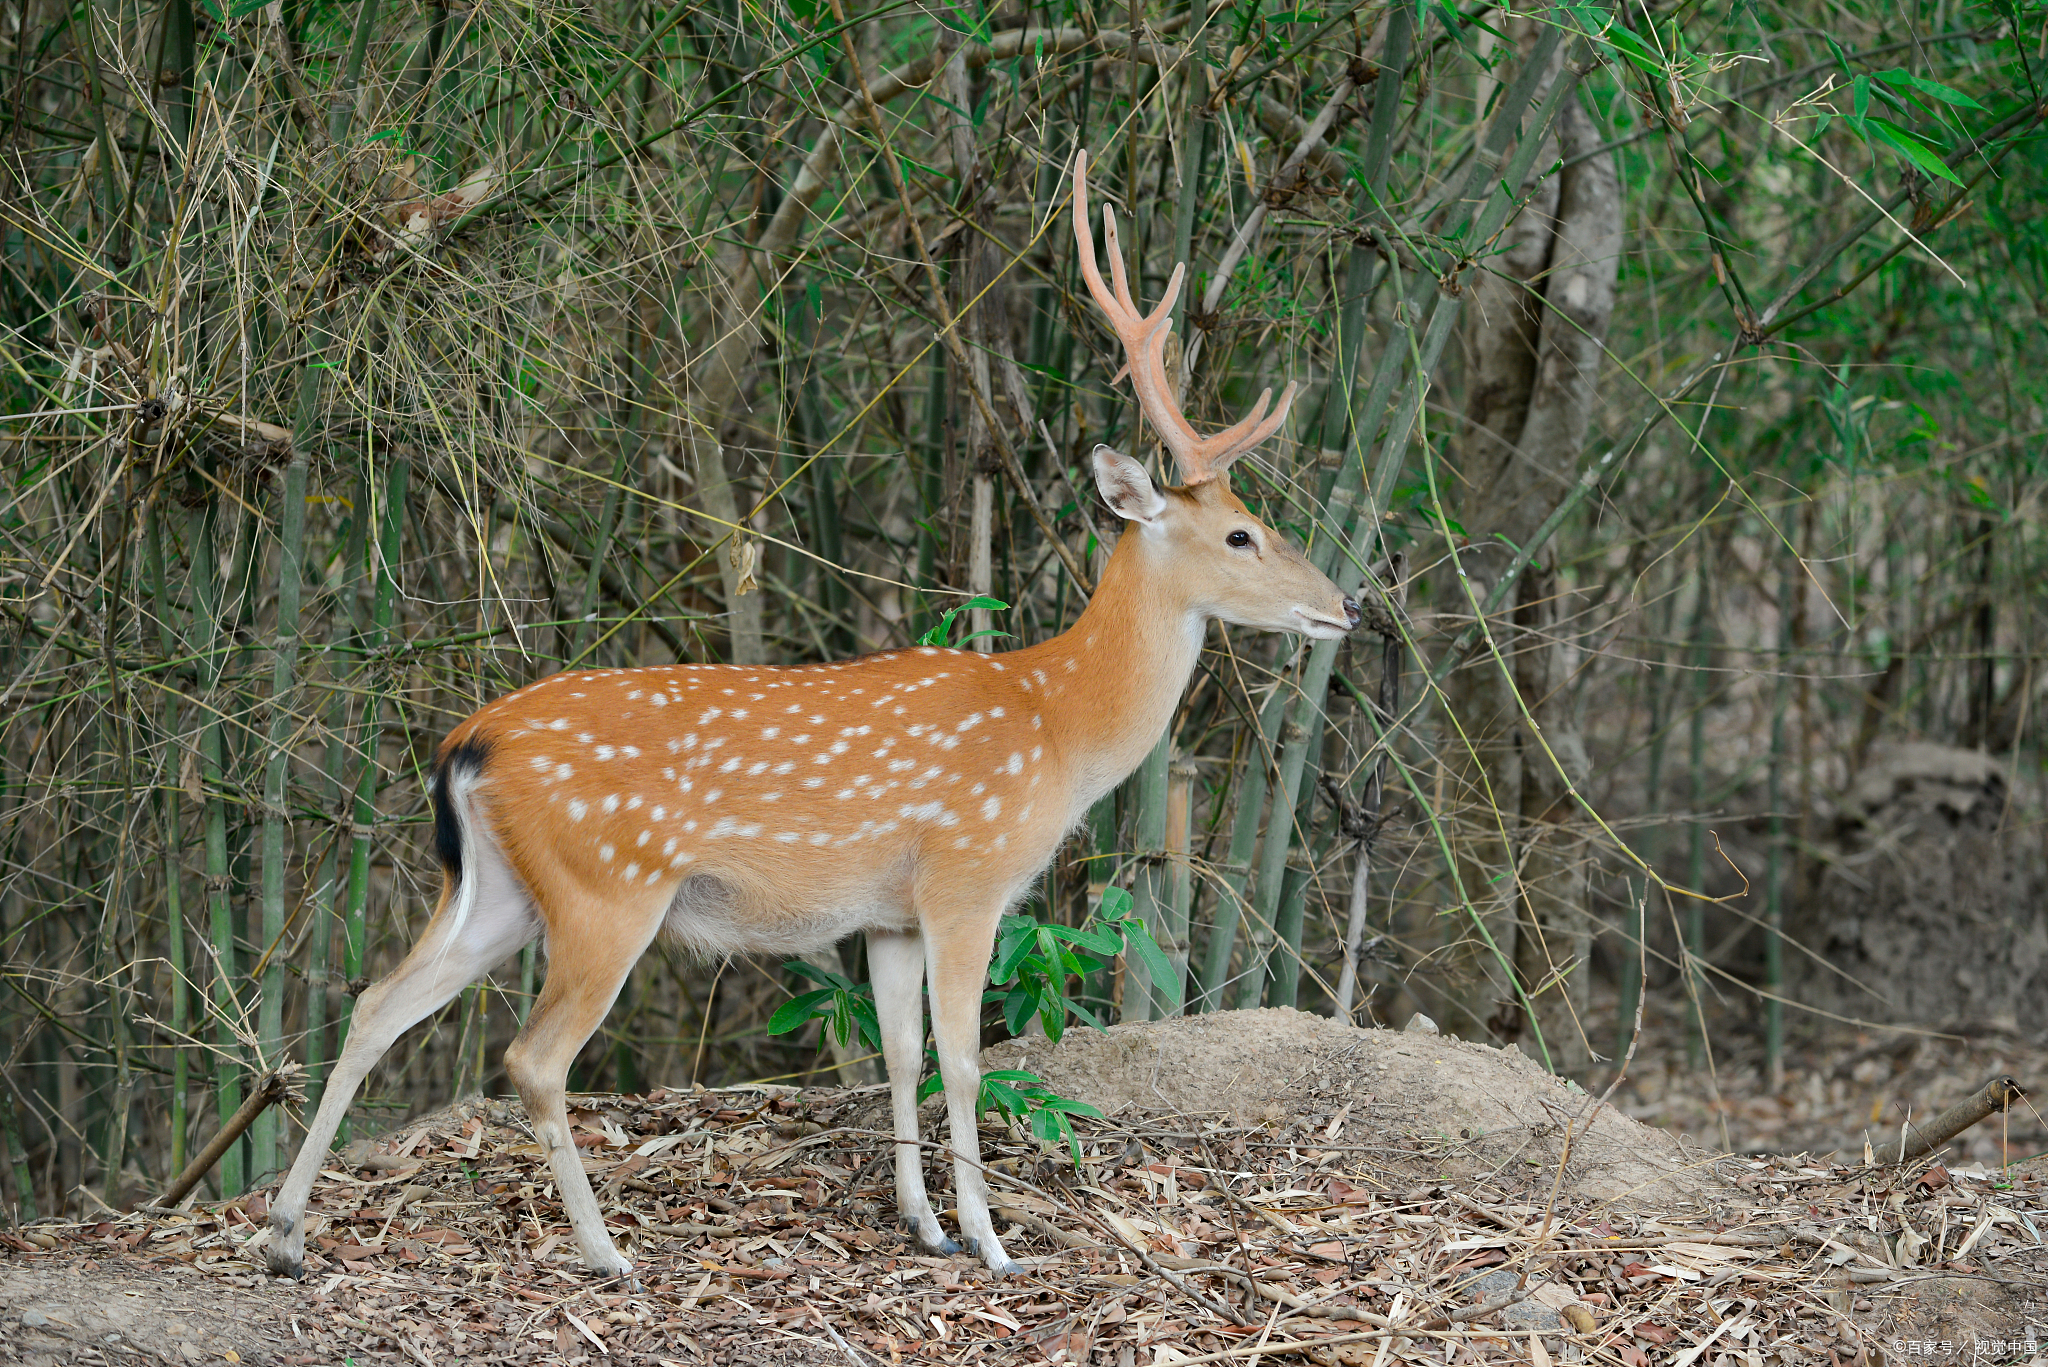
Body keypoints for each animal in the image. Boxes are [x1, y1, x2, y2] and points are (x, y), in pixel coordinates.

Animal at [260, 149, 1359, 1287]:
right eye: (1242, 533)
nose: (1346, 605)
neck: (1054, 721)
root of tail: (464, 745)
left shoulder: (887, 911)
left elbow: (901, 1052)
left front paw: (922, 1221)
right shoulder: (967, 876)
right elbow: (965, 1058)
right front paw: (991, 1240)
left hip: (499, 888)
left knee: (376, 1004)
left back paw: (287, 1232)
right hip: (608, 884)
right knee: (531, 1054)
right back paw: (607, 1252)